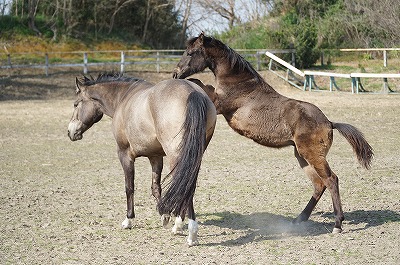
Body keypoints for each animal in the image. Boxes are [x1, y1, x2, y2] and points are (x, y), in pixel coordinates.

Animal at [66, 72, 216, 245]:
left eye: (75, 104)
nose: (70, 132)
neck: (123, 98)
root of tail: (193, 92)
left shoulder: (124, 155)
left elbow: (129, 187)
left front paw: (128, 220)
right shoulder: (155, 156)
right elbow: (156, 187)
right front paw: (164, 215)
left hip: (176, 156)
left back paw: (190, 233)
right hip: (194, 156)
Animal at [173, 33, 374, 233]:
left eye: (190, 53)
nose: (175, 73)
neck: (240, 83)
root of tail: (329, 122)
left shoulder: (218, 103)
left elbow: (199, 83)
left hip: (313, 156)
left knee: (331, 180)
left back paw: (337, 224)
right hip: (302, 157)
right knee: (319, 184)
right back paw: (299, 219)